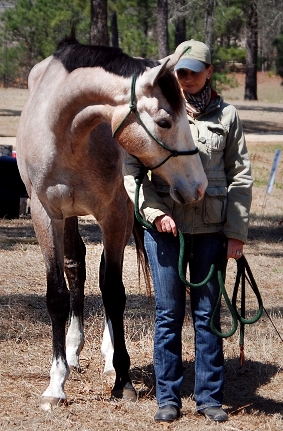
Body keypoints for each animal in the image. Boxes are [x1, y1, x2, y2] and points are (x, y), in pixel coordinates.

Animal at [16, 38, 209, 412]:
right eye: (165, 121)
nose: (198, 186)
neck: (69, 134)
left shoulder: (115, 214)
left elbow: (114, 292)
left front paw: (123, 379)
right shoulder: (45, 215)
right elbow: (57, 295)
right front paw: (56, 384)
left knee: (106, 277)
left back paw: (108, 358)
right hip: (70, 218)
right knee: (76, 267)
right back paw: (74, 351)